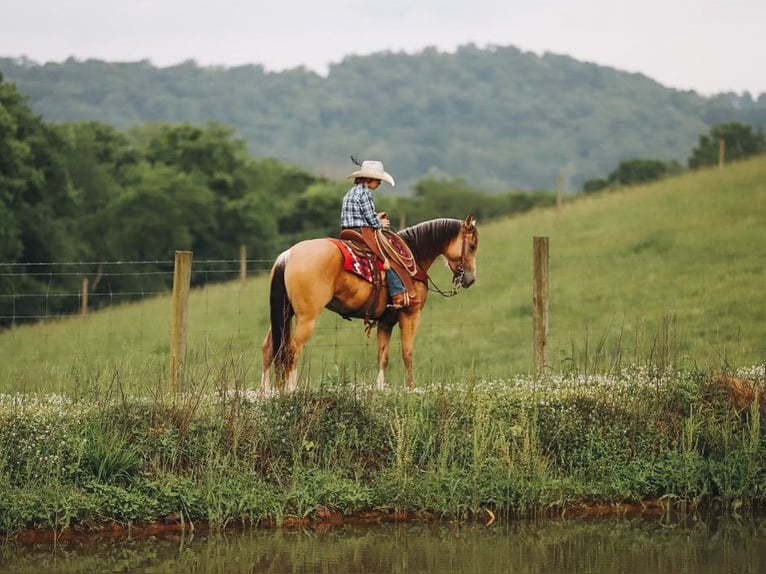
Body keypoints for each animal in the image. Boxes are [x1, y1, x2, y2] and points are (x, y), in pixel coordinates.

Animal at [264, 217, 480, 396]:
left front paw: (380, 389)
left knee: (269, 348)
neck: (415, 257)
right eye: (472, 246)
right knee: (292, 350)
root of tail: (288, 255)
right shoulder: (410, 315)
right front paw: (411, 389)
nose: (470, 279)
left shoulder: (385, 321)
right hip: (307, 317)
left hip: (285, 313)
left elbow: (383, 357)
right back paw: (291, 391)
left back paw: (265, 393)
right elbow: (407, 353)